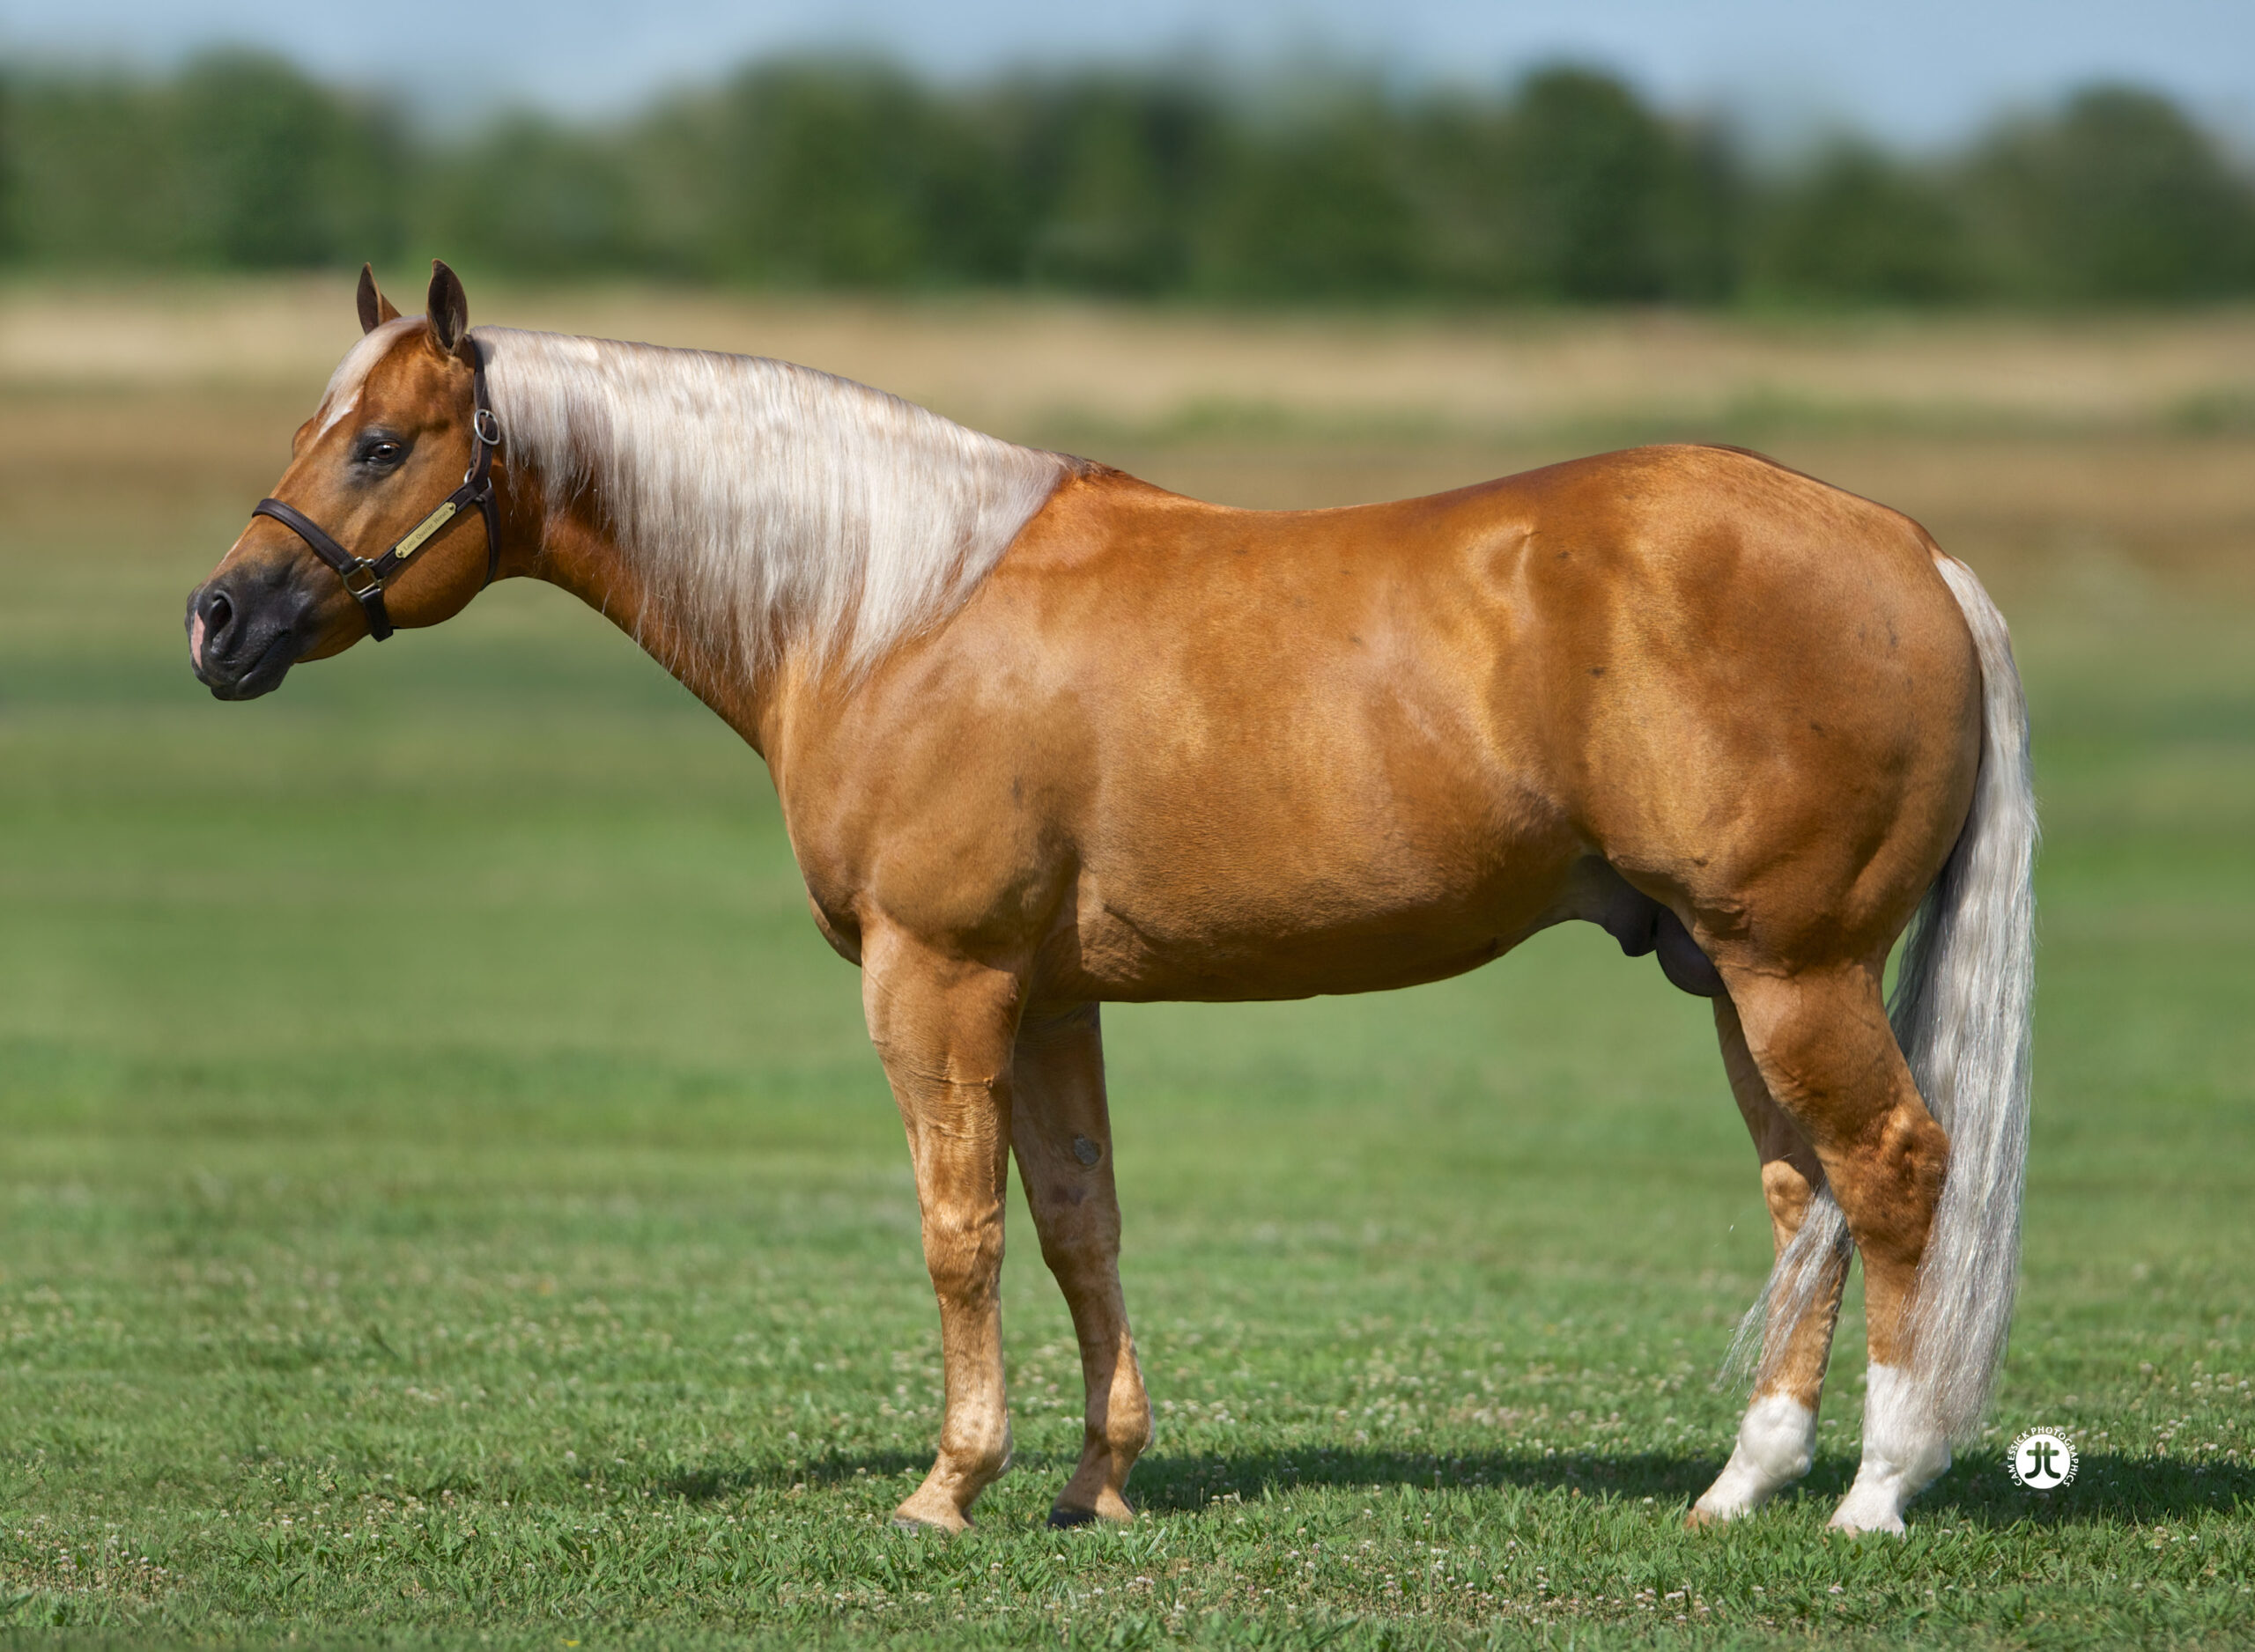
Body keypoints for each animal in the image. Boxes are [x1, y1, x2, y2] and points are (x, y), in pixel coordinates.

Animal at [187, 262, 2034, 1536]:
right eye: (305, 431)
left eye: (379, 442)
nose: (220, 620)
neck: (890, 607)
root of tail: (1913, 551)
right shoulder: (1052, 990)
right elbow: (1080, 1221)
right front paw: (1096, 1485)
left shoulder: (936, 979)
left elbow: (961, 1229)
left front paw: (949, 1487)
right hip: (1731, 974)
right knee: (1803, 1196)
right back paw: (1741, 1488)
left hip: (1797, 967)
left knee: (1892, 1169)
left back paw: (1876, 1493)